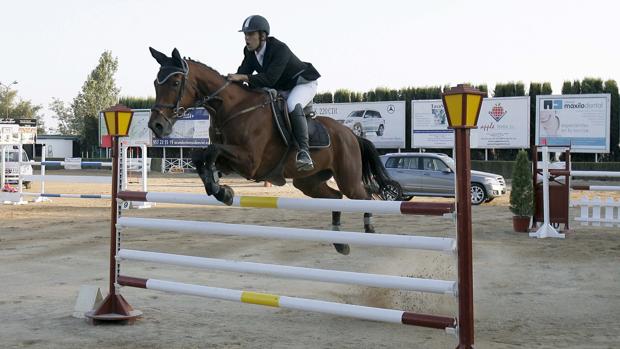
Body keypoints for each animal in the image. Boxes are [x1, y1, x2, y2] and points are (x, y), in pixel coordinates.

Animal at [149, 47, 398, 253]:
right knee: (335, 197)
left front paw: (221, 190)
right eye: (155, 83)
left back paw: (370, 229)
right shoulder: (232, 161)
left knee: (364, 196)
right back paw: (339, 242)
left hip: (348, 178)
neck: (232, 109)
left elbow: (211, 151)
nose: (156, 126)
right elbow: (200, 156)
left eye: (175, 83)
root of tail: (351, 134)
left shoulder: (250, 162)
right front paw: (219, 188)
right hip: (308, 182)